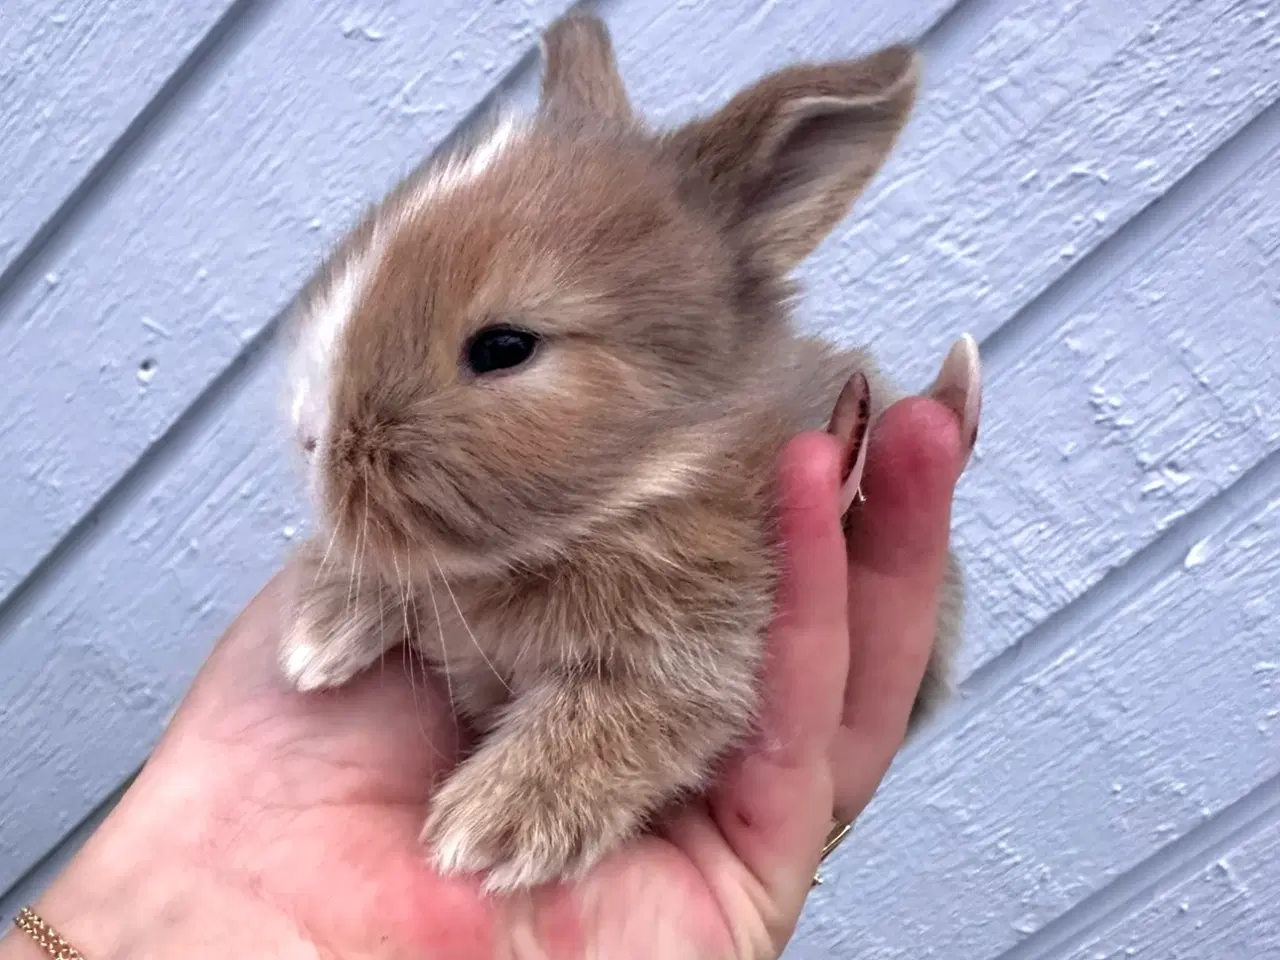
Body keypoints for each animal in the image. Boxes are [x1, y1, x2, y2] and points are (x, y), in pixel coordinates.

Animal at [280, 11, 977, 896]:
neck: (641, 484)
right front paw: (316, 637)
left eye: (504, 346)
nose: (310, 436)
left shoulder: (704, 642)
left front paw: (489, 831)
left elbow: (626, 713)